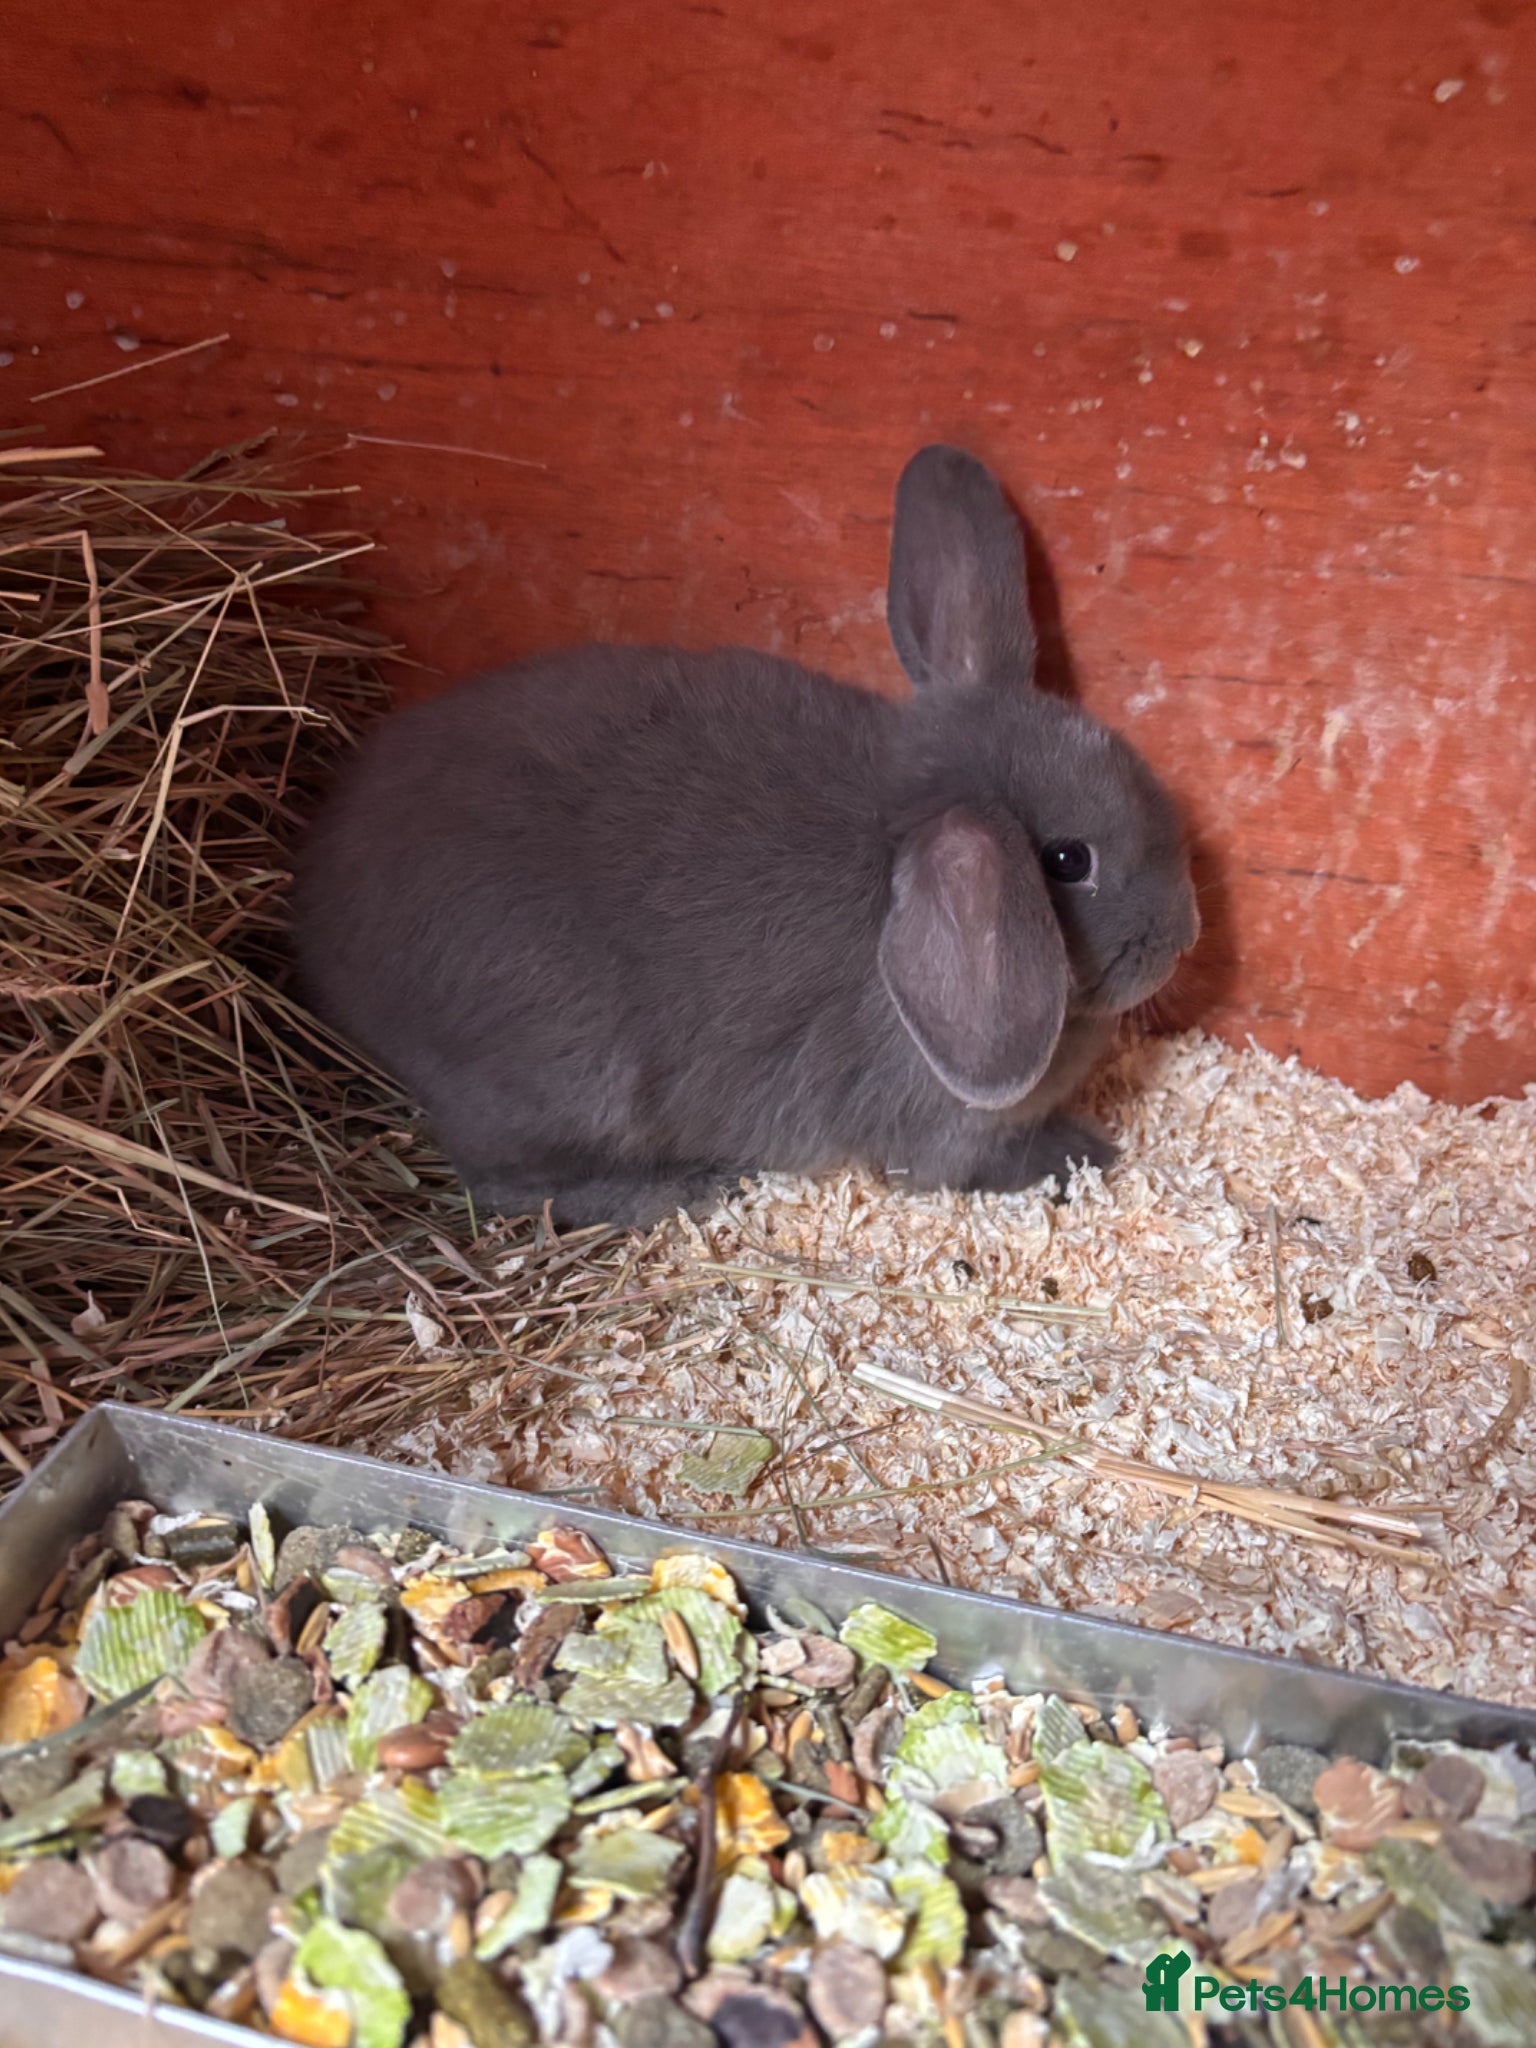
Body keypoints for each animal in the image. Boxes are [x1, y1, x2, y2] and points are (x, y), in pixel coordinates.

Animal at [292, 444, 1198, 1231]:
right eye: (1067, 861)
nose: (1185, 936)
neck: (900, 821)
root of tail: (318, 925)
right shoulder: (947, 1134)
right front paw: (1089, 1154)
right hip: (565, 1083)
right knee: (505, 1183)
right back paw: (683, 1188)